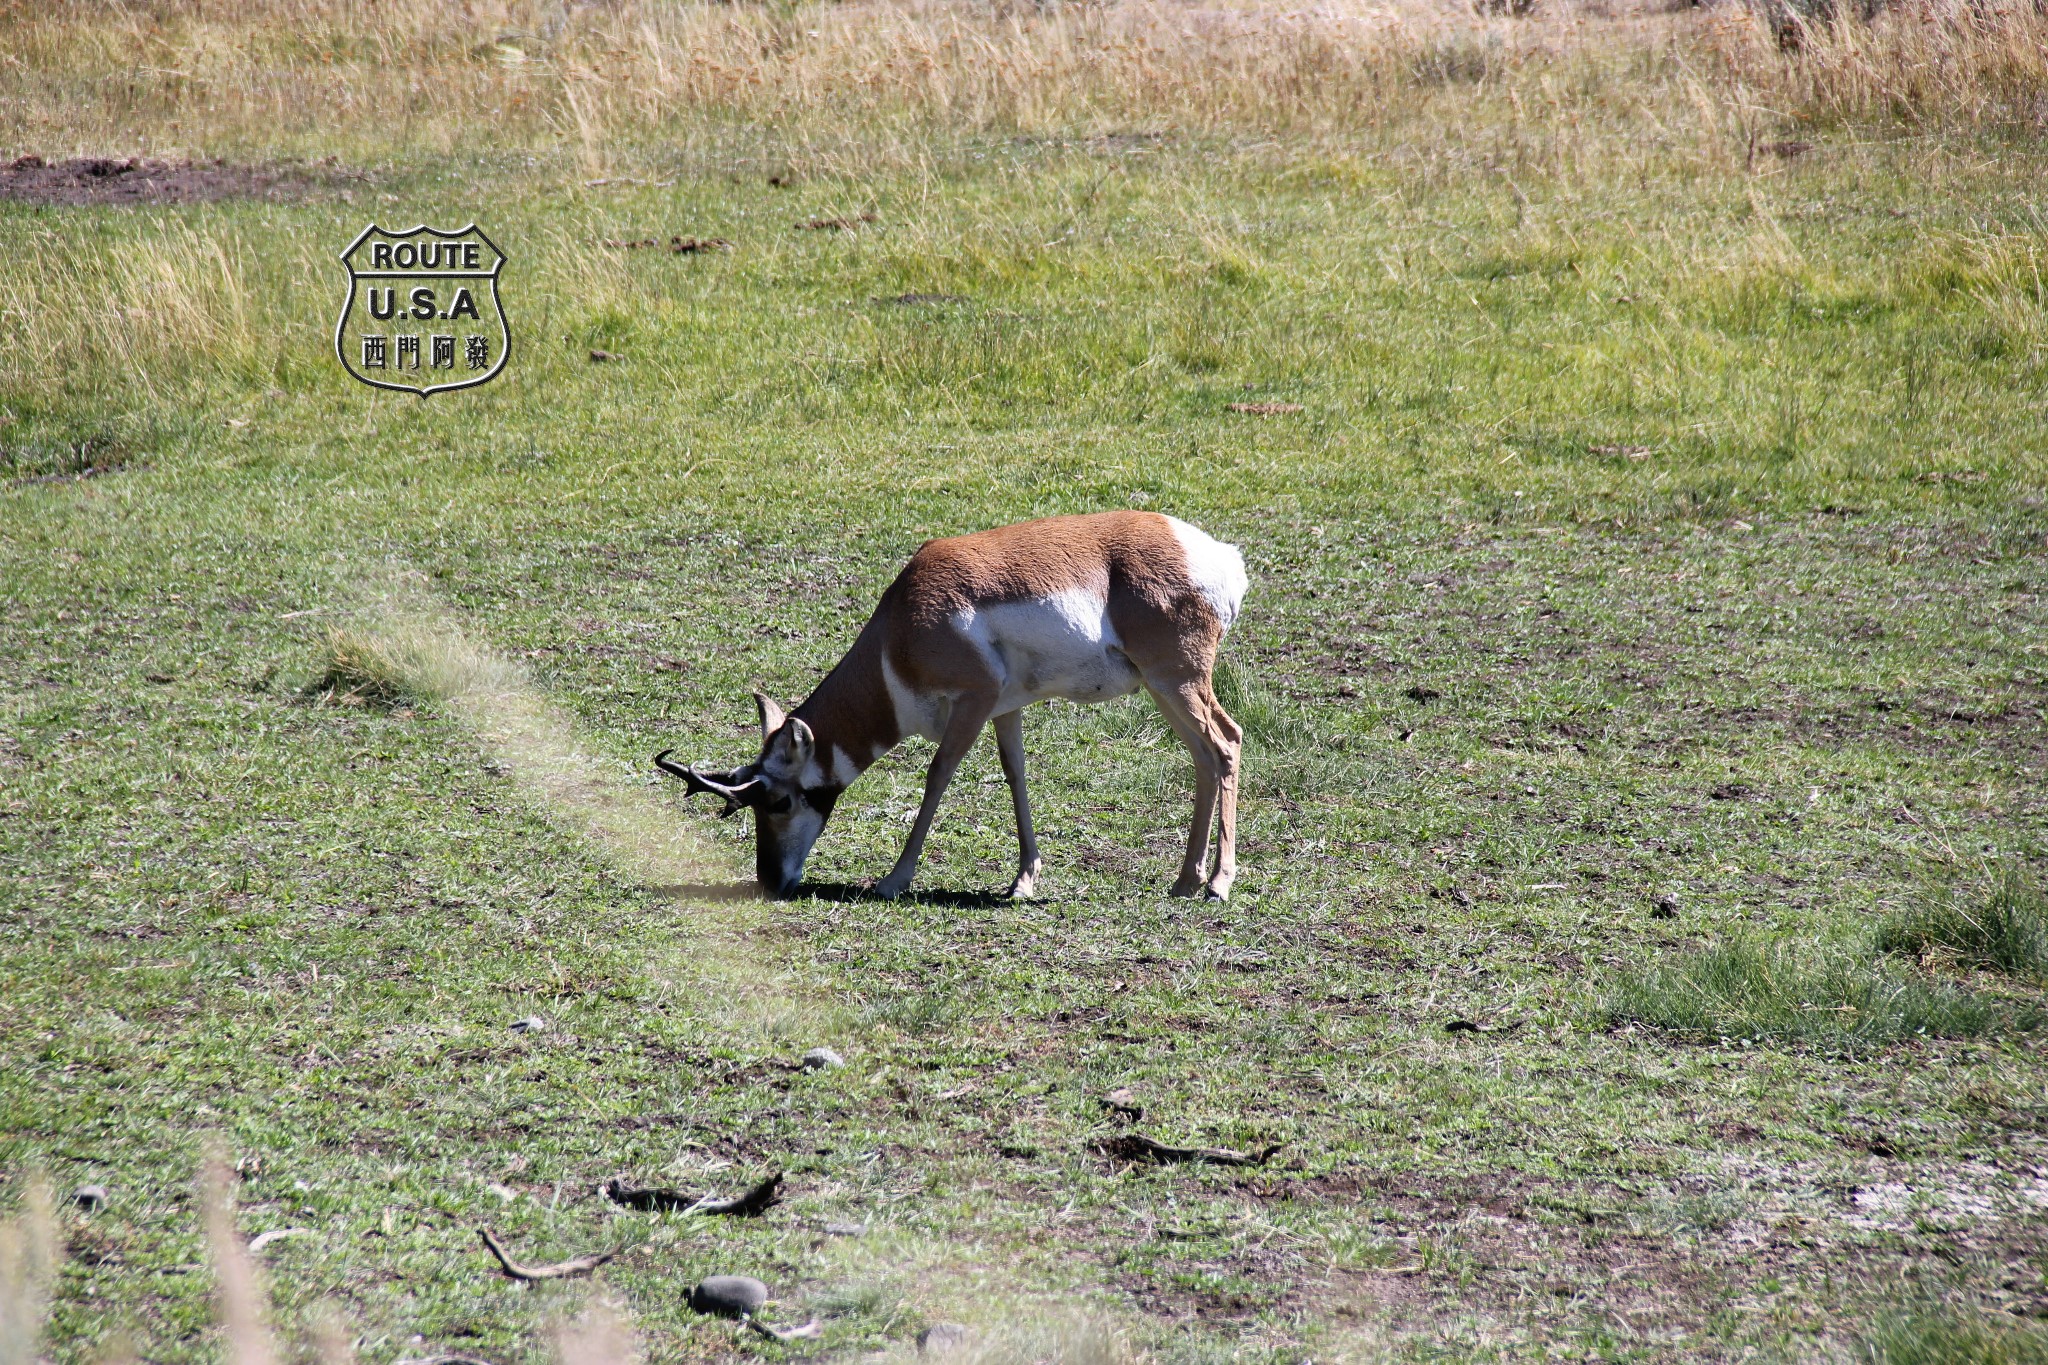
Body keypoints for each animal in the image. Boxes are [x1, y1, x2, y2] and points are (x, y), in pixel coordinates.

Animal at [659, 507, 1245, 900]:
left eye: (780, 801)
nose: (770, 881)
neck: (898, 632)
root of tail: (1218, 556)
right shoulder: (1005, 708)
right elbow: (1016, 775)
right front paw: (1024, 880)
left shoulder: (975, 700)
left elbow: (938, 774)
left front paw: (894, 879)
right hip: (1164, 689)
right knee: (1203, 756)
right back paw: (1185, 880)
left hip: (1178, 682)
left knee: (1226, 743)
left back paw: (1217, 883)